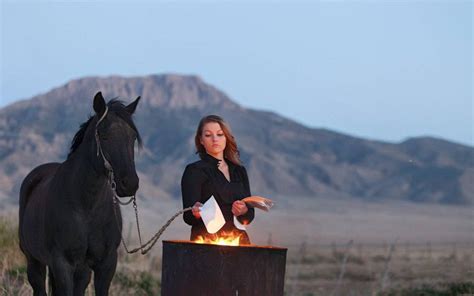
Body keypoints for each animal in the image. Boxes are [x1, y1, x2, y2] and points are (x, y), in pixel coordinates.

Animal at [19, 91, 141, 294]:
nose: (130, 184)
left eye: (132, 137)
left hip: (82, 270)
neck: (87, 207)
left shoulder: (106, 264)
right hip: (34, 262)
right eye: (104, 136)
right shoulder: (62, 264)